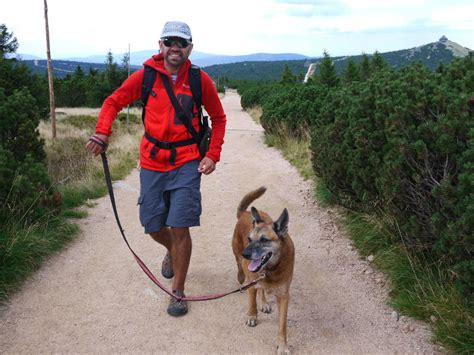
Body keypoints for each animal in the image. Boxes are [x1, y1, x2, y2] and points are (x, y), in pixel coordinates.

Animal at [231, 188, 294, 354]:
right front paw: (252, 316)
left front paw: (282, 345)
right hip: (238, 257)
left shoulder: (284, 297)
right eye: (250, 239)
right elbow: (252, 301)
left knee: (261, 289)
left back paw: (264, 302)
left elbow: (282, 325)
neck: (271, 269)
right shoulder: (252, 282)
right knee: (241, 271)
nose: (246, 254)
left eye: (264, 240)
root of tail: (245, 213)